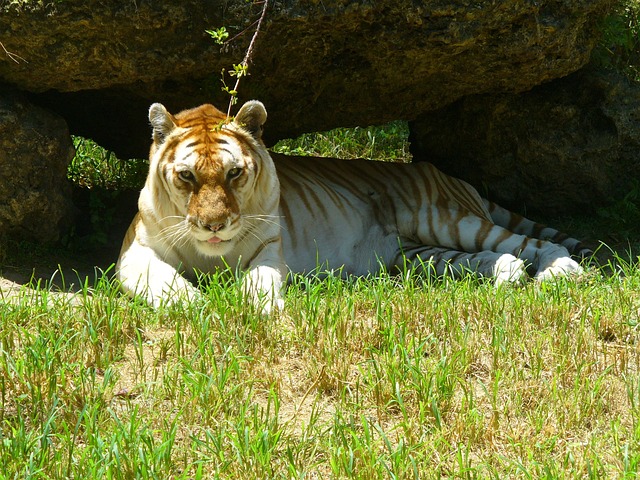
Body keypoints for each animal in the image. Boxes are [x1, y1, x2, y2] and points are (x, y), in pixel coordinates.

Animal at [116, 99, 592, 314]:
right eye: (187, 176)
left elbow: (260, 282)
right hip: (415, 254)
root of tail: (451, 176)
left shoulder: (268, 250)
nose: (214, 225)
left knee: (532, 244)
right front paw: (200, 307)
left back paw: (561, 272)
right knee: (496, 258)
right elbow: (166, 284)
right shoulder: (134, 253)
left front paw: (261, 309)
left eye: (234, 174)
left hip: (446, 220)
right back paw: (507, 276)